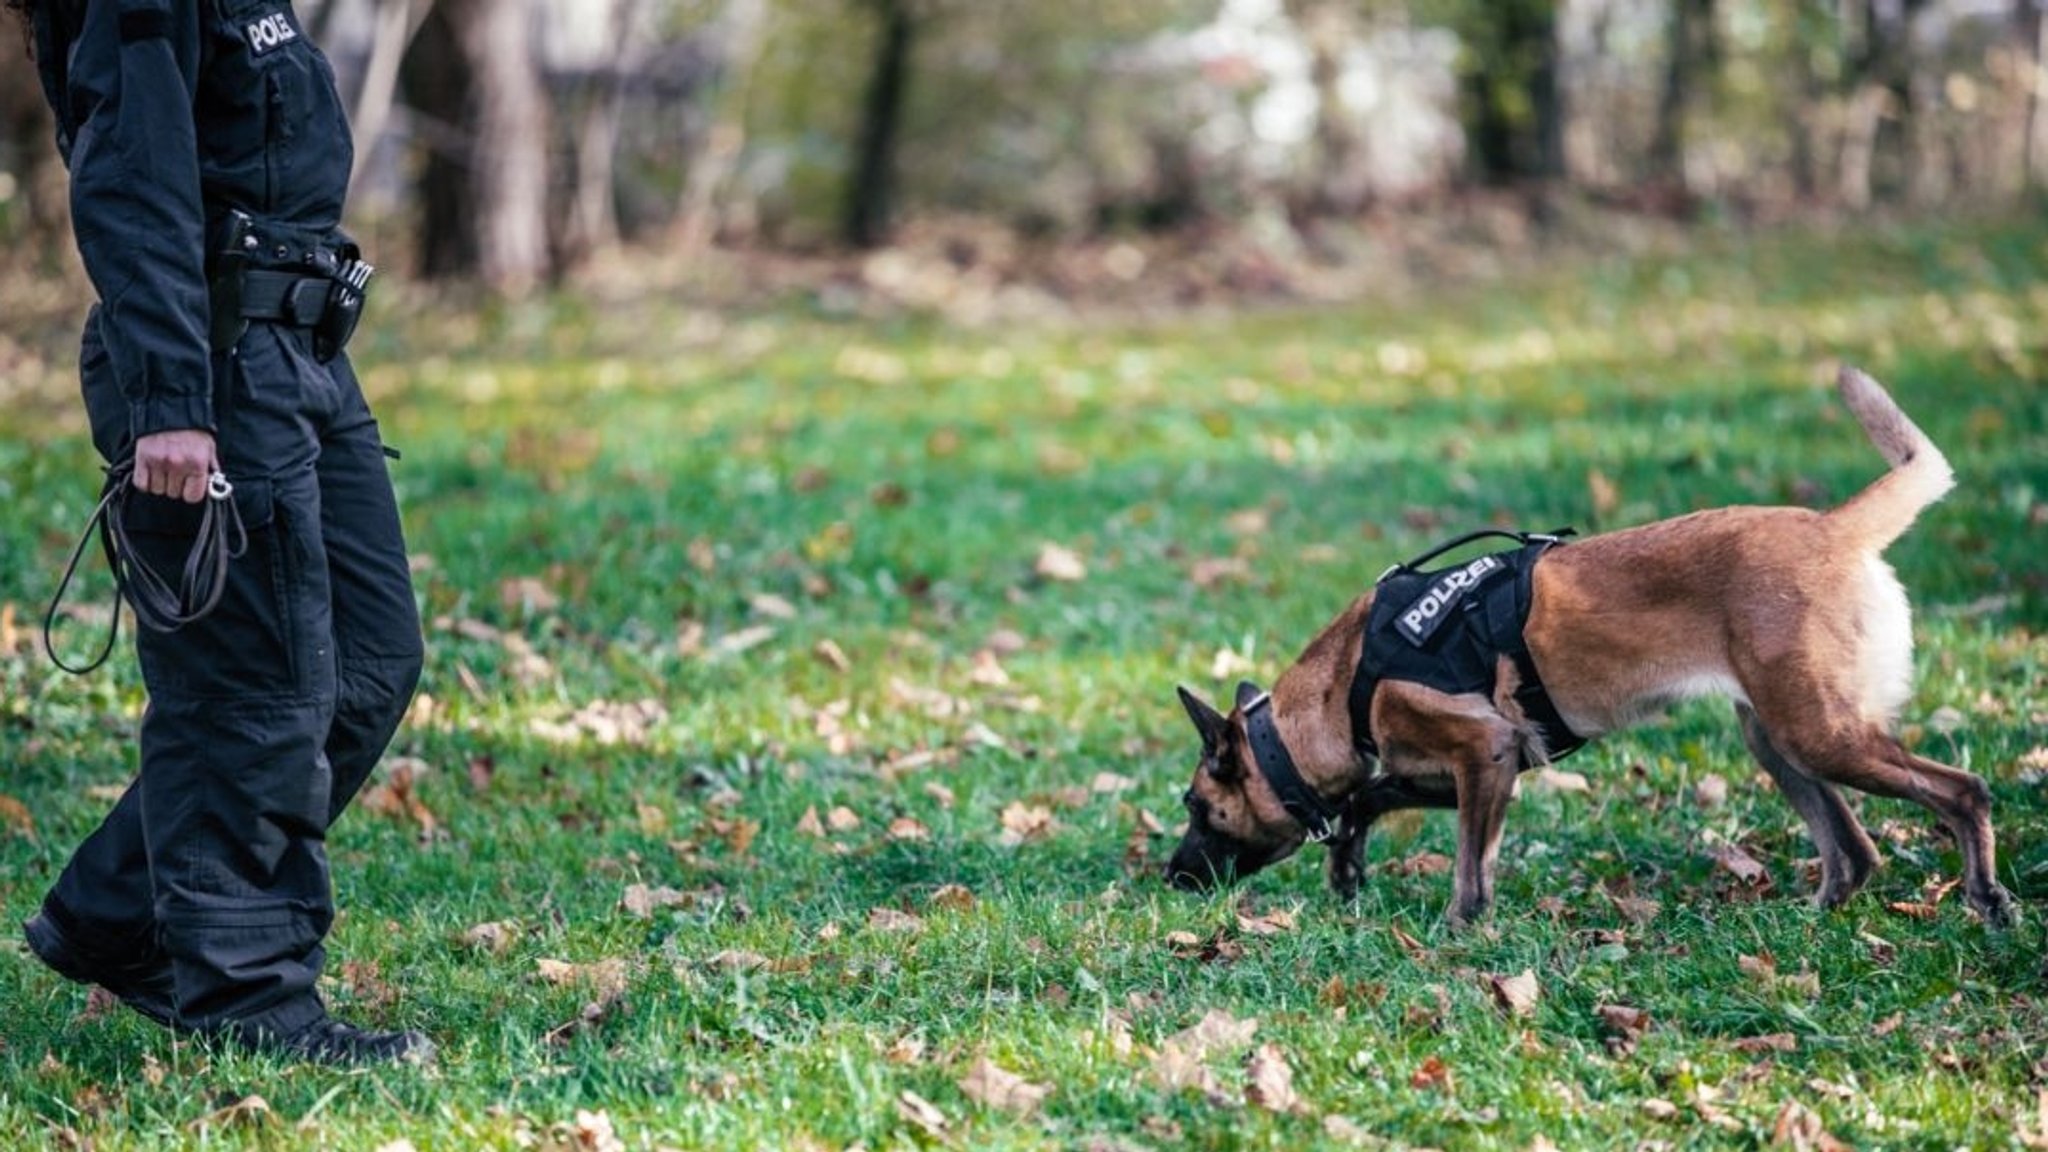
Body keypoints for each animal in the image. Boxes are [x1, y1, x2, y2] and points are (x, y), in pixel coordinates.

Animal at [1171, 366, 2015, 922]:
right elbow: (1370, 796)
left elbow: (1467, 870)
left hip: (1821, 734)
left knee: (1962, 791)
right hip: (1778, 739)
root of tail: (1835, 529)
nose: (1172, 878)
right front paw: (1348, 868)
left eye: (1198, 808)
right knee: (1854, 852)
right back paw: (1813, 923)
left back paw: (1986, 897)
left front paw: (1457, 932)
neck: (1349, 679)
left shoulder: (1484, 754)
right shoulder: (1479, 764)